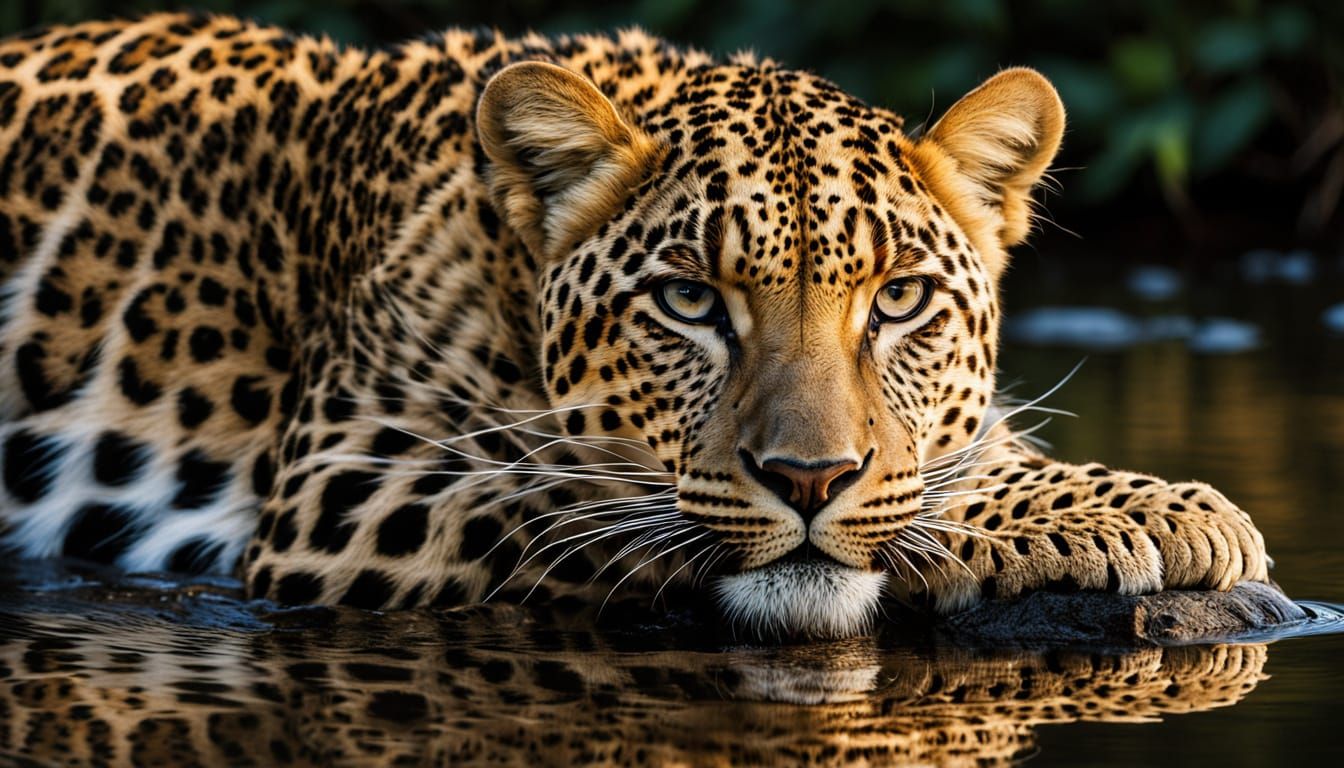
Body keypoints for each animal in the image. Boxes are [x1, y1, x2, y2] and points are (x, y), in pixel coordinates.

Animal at [0, 12, 1271, 641]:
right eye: (689, 301)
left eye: (898, 300)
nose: (810, 481)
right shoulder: (351, 483)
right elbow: (582, 486)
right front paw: (1118, 513)